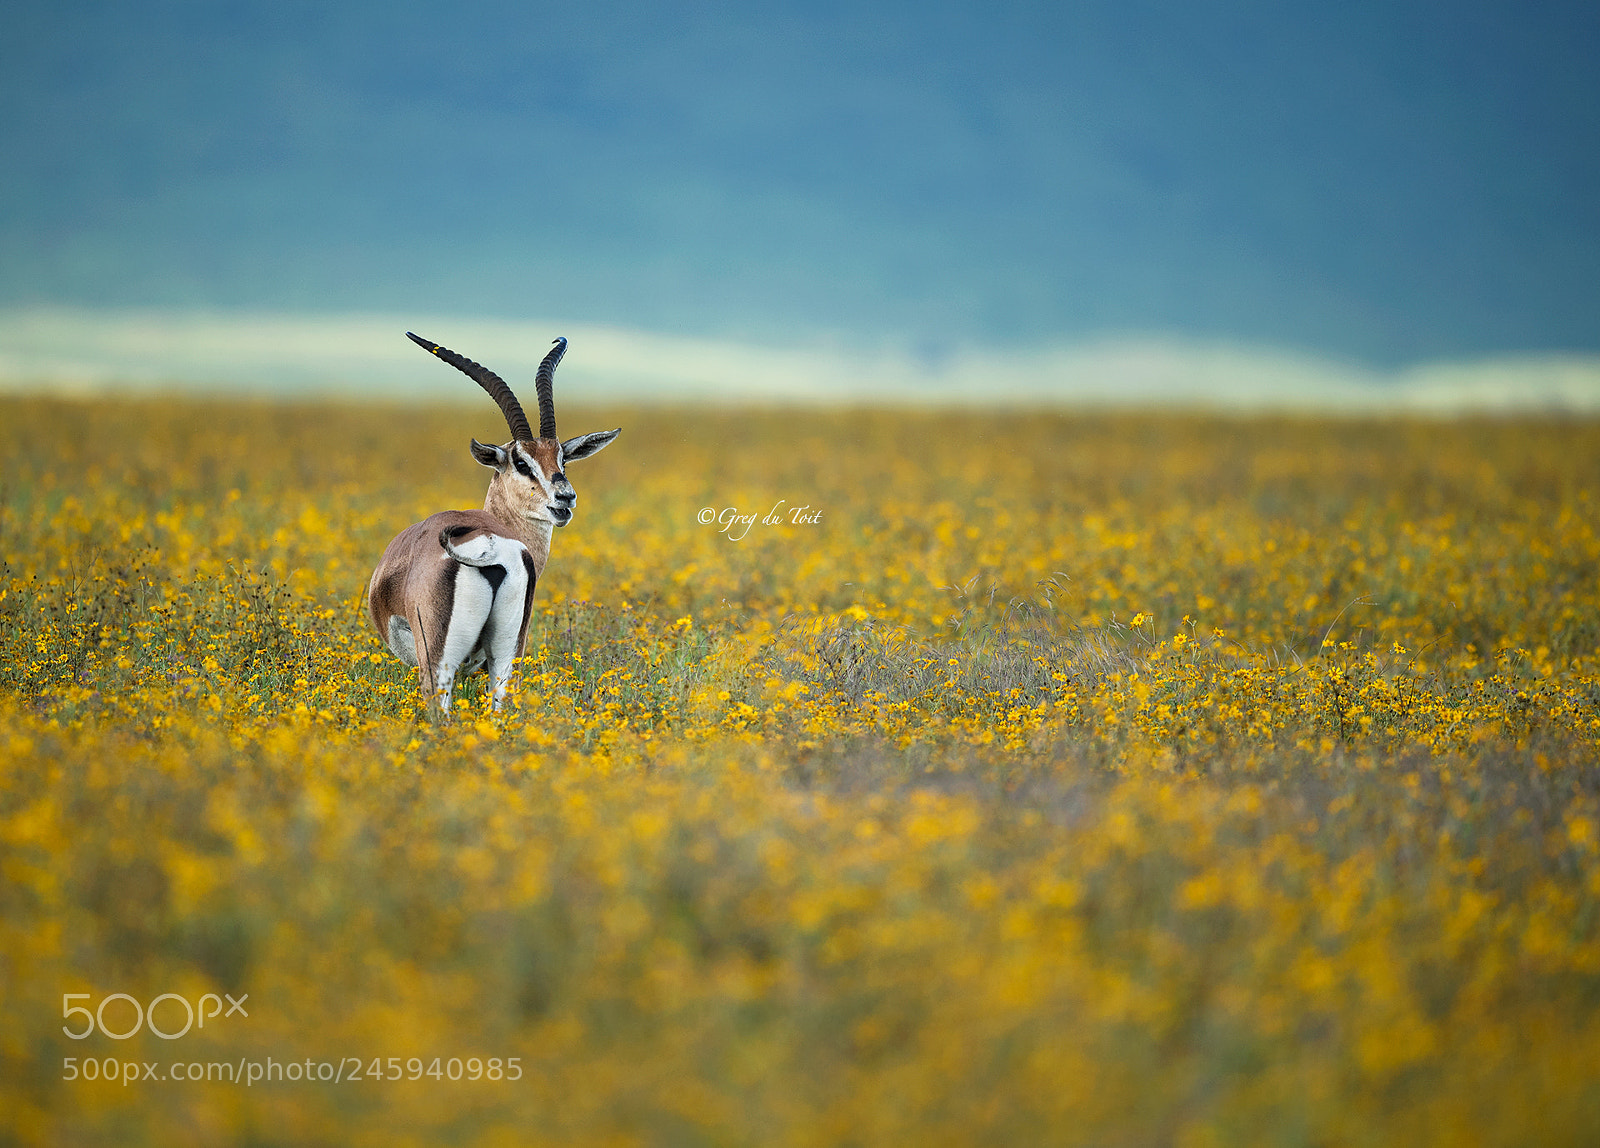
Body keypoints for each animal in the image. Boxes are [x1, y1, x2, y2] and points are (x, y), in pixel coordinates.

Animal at [367, 333, 619, 717]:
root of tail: (488, 547)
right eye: (522, 461)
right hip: (505, 658)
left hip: (439, 666)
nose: (564, 498)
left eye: (562, 459)